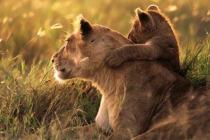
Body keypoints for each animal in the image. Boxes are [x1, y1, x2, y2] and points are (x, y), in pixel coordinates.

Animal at [51, 14, 210, 139]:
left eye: (67, 41)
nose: (52, 59)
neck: (106, 82)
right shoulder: (101, 127)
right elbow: (67, 130)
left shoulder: (127, 130)